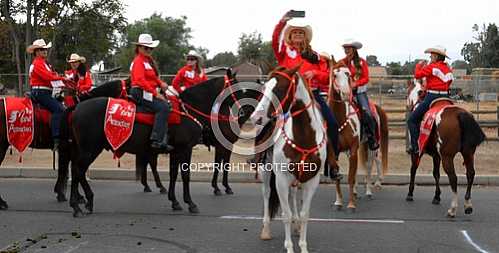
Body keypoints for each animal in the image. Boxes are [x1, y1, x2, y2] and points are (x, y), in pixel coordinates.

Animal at [0, 79, 127, 210]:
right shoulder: (66, 147)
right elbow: (66, 170)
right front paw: (66, 195)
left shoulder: (71, 149)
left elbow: (69, 169)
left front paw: (70, 195)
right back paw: (2, 202)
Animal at [249, 65, 334, 253]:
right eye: (264, 88)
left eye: (279, 89)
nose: (255, 118)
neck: (304, 136)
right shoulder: (281, 179)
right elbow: (285, 215)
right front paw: (289, 247)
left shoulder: (311, 180)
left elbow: (304, 214)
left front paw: (303, 246)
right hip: (266, 171)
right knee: (267, 194)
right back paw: (266, 229)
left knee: (292, 195)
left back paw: (296, 227)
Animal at [328, 65, 390, 211]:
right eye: (334, 75)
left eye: (348, 75)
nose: (345, 93)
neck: (340, 119)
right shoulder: (336, 151)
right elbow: (339, 176)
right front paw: (338, 202)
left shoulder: (353, 148)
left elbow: (351, 176)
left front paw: (351, 205)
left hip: (372, 145)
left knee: (372, 164)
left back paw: (371, 189)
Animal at [404, 79, 486, 217]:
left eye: (408, 91)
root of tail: (460, 114)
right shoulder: (436, 155)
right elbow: (436, 174)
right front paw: (436, 197)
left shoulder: (416, 152)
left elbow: (413, 170)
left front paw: (410, 193)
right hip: (468, 153)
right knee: (470, 174)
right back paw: (468, 205)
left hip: (448, 156)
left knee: (453, 177)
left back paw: (452, 209)